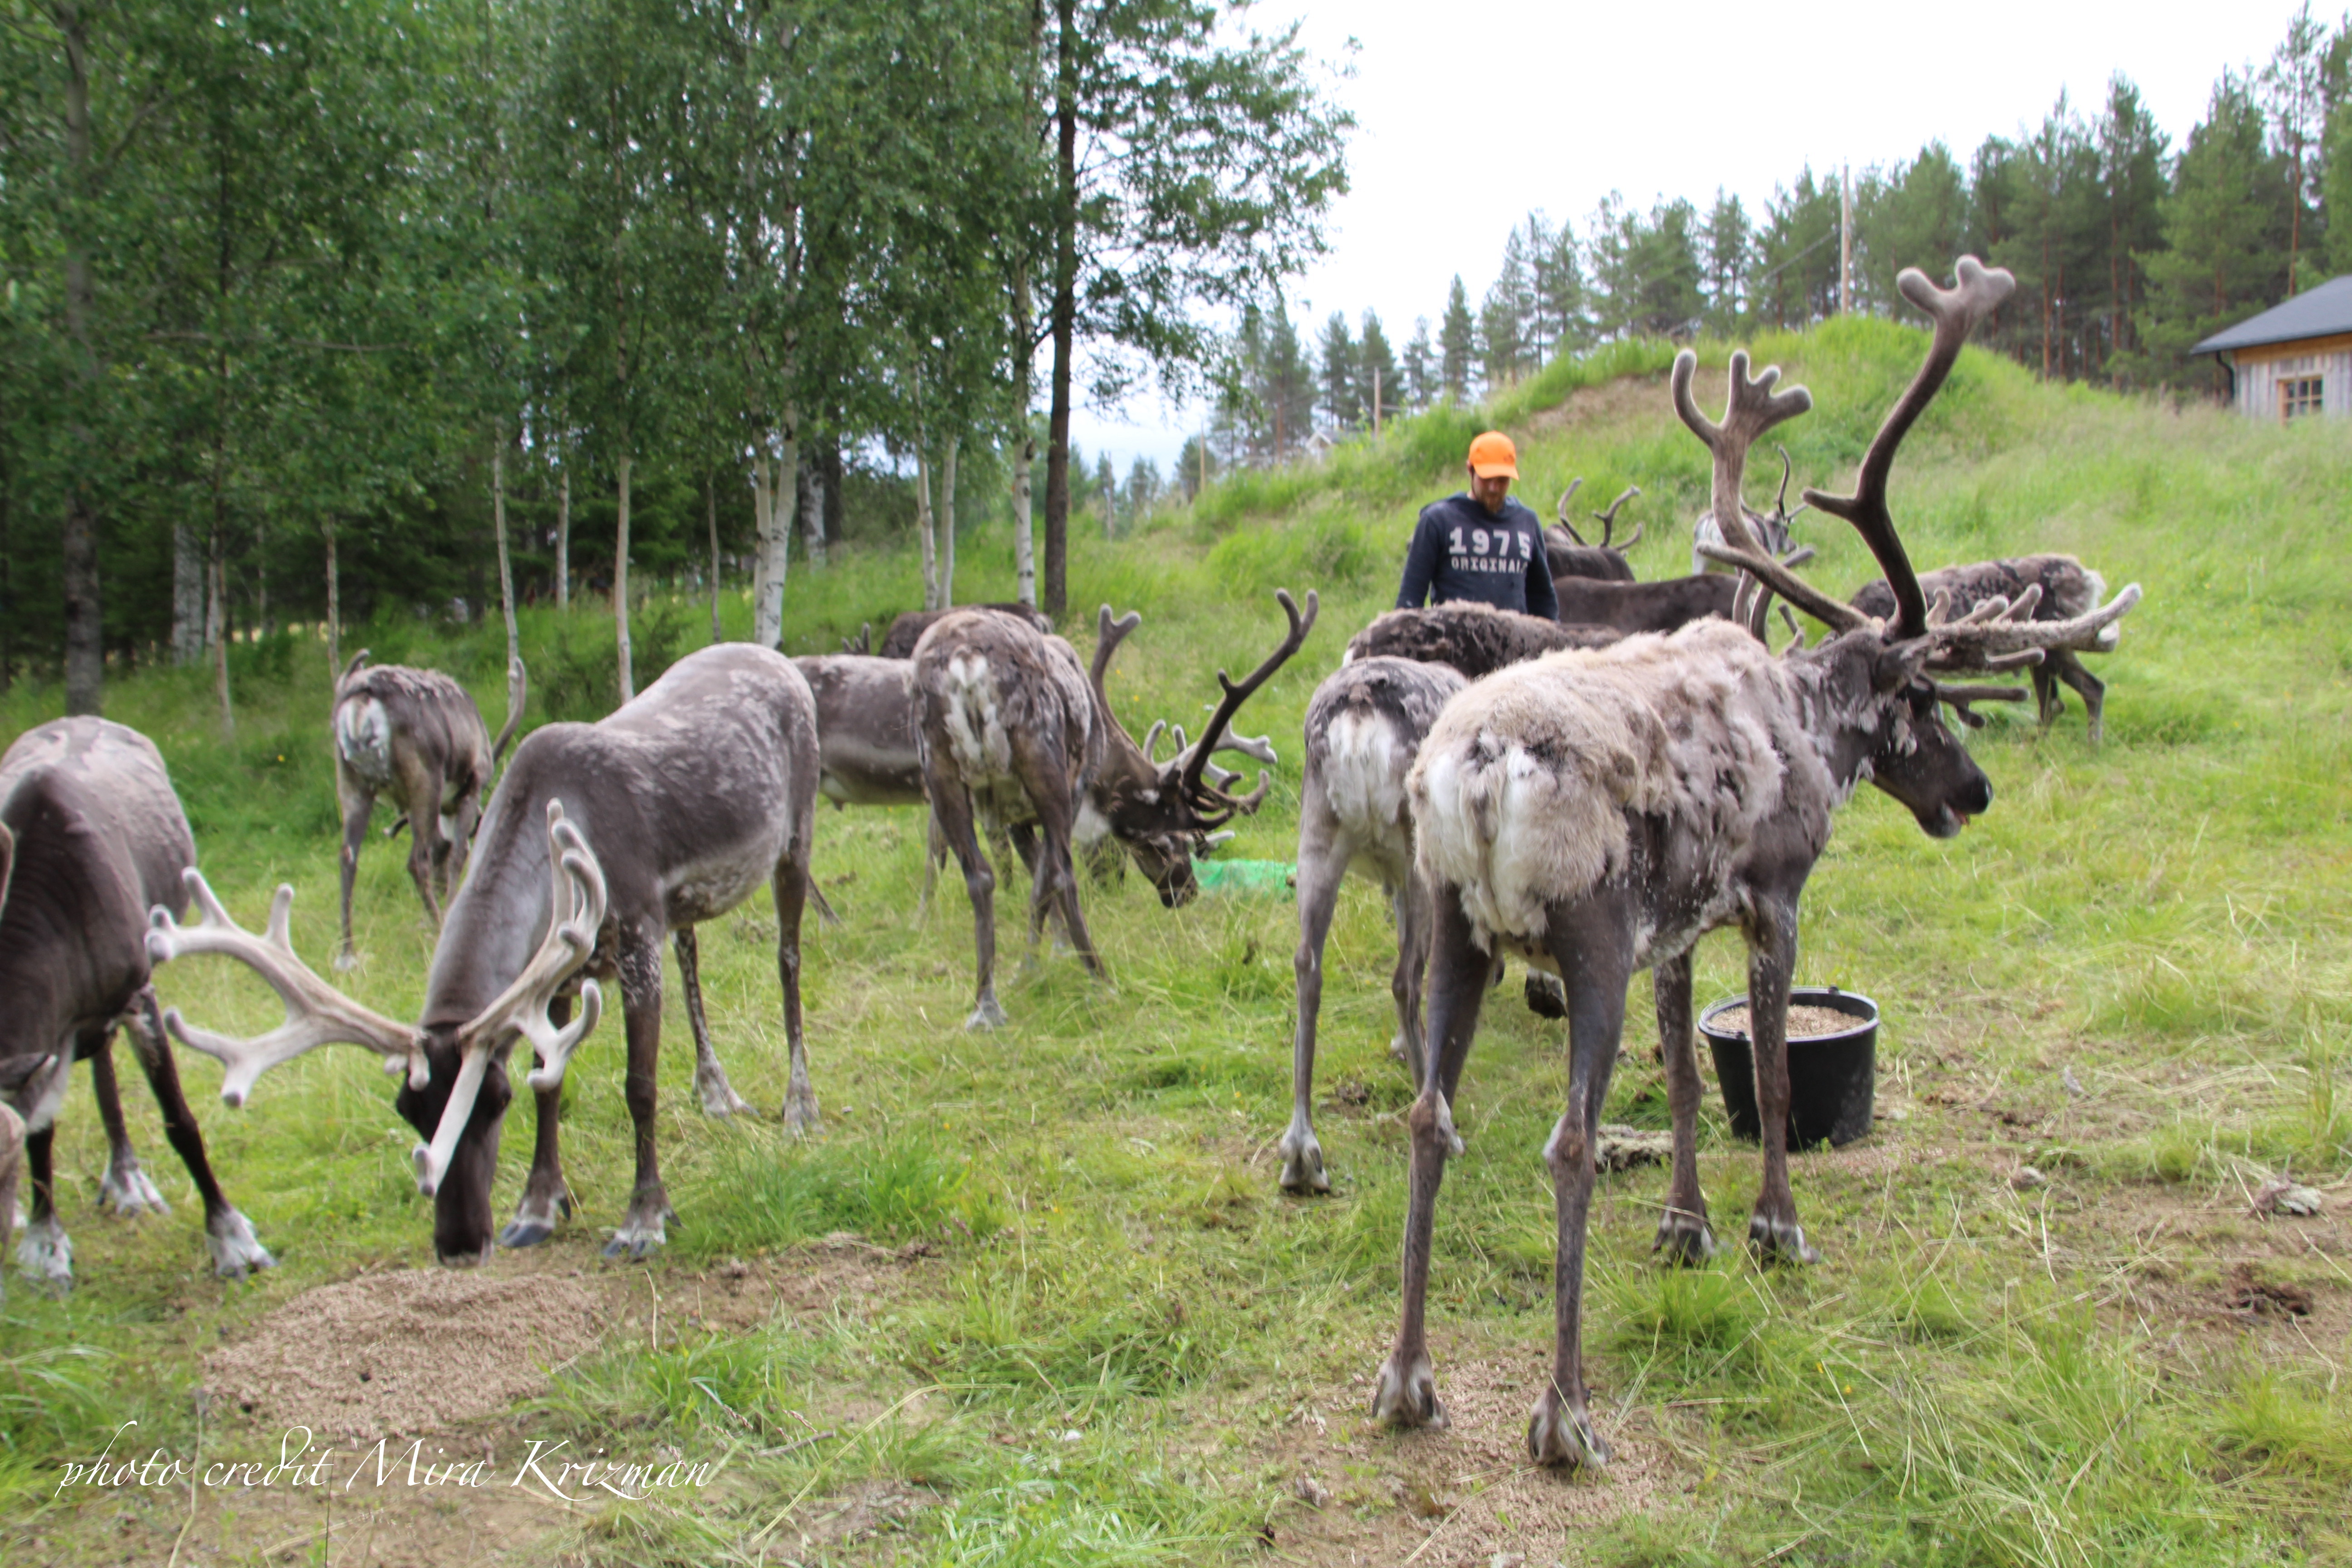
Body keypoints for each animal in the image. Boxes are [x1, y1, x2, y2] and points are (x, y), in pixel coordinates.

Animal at [1, 719, 275, 1290]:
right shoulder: (45, 1044)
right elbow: (42, 1131)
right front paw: (45, 1243)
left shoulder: (137, 993)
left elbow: (181, 1122)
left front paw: (232, 1239)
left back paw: (128, 1180)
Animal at [332, 652, 526, 970]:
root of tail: (363, 695)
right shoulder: (473, 784)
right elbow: (460, 854)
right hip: (425, 779)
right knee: (415, 861)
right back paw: (438, 926)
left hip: (352, 783)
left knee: (348, 857)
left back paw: (348, 953)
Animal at [911, 590, 1314, 1030]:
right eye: (1170, 840)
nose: (1188, 891)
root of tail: (967, 660)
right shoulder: (1068, 795)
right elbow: (1045, 882)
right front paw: (1035, 965)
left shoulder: (1012, 816)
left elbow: (1035, 885)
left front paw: (1040, 958)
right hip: (1043, 764)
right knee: (1062, 875)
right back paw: (1100, 978)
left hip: (941, 769)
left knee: (979, 876)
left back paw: (985, 1003)